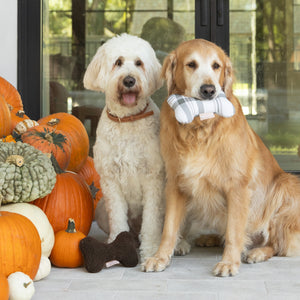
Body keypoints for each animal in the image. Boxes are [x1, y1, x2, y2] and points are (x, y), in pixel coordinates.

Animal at [83, 33, 165, 262]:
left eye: (139, 63)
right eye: (118, 62)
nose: (129, 80)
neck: (128, 120)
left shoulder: (153, 179)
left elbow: (151, 220)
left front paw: (151, 249)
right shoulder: (111, 181)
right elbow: (118, 217)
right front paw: (116, 244)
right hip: (101, 209)